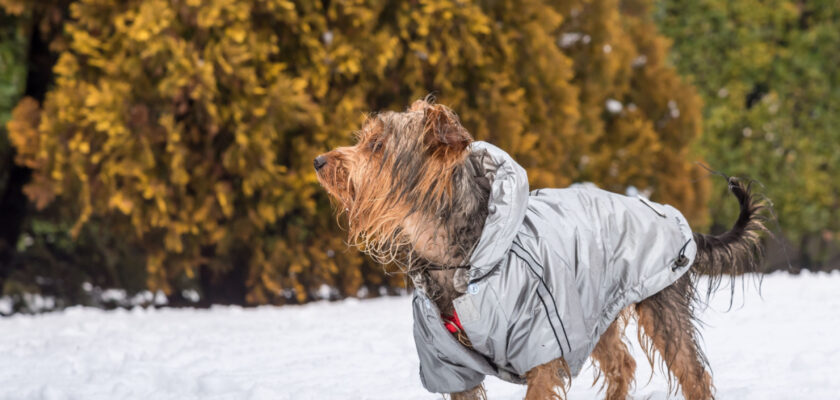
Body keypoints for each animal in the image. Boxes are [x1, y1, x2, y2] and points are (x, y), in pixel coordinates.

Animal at [314, 98, 760, 398]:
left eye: (376, 147)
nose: (319, 161)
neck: (464, 256)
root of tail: (672, 215)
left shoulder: (542, 344)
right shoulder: (449, 363)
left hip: (659, 300)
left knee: (692, 373)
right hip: (591, 309)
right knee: (622, 364)